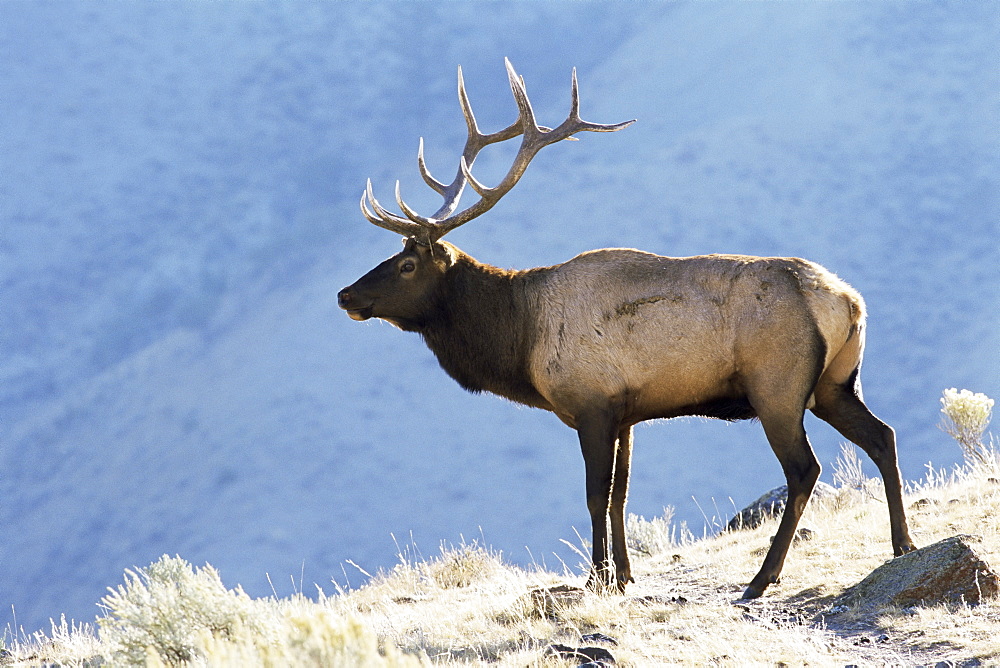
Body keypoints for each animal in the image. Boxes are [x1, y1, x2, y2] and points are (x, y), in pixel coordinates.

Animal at [342, 60, 916, 596]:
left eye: (407, 264)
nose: (346, 294)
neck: (520, 338)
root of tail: (848, 301)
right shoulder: (628, 413)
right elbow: (621, 495)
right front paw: (625, 575)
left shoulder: (592, 403)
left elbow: (596, 493)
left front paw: (596, 577)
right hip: (834, 383)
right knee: (882, 435)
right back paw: (902, 543)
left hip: (777, 386)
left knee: (804, 470)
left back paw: (762, 578)